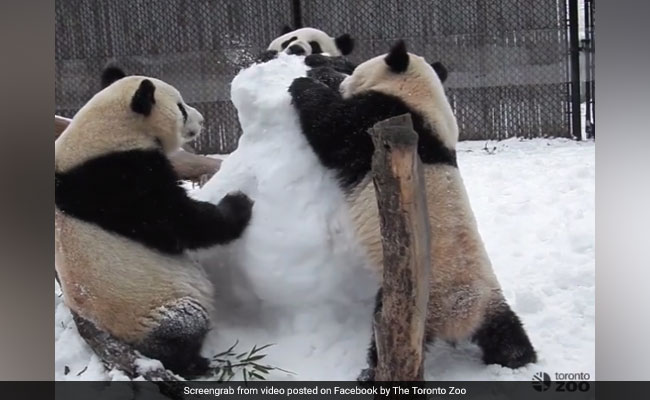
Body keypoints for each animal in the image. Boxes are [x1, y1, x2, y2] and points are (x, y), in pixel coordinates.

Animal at [53, 66, 253, 378]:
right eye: (180, 107)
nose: (201, 119)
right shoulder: (121, 181)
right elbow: (178, 221)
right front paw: (238, 204)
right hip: (152, 306)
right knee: (181, 325)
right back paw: (193, 363)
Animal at [286, 41, 536, 382]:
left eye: (358, 72)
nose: (344, 82)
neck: (421, 101)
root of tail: (459, 316)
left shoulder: (377, 120)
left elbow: (331, 127)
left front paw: (304, 82)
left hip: (410, 303)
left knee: (383, 333)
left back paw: (370, 375)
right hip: (490, 301)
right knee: (509, 334)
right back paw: (519, 358)